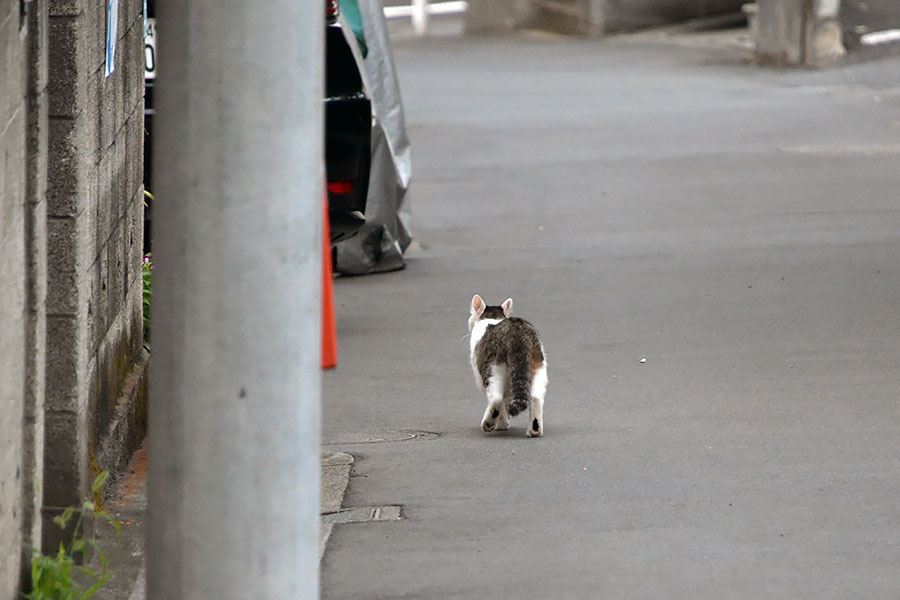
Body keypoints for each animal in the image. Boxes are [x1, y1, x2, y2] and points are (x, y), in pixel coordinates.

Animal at [472, 294, 548, 438]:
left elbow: (501, 401)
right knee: (536, 397)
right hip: (538, 365)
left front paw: (501, 424)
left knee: (496, 398)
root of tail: (517, 330)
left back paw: (488, 423)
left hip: (493, 368)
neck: (494, 318)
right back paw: (534, 430)